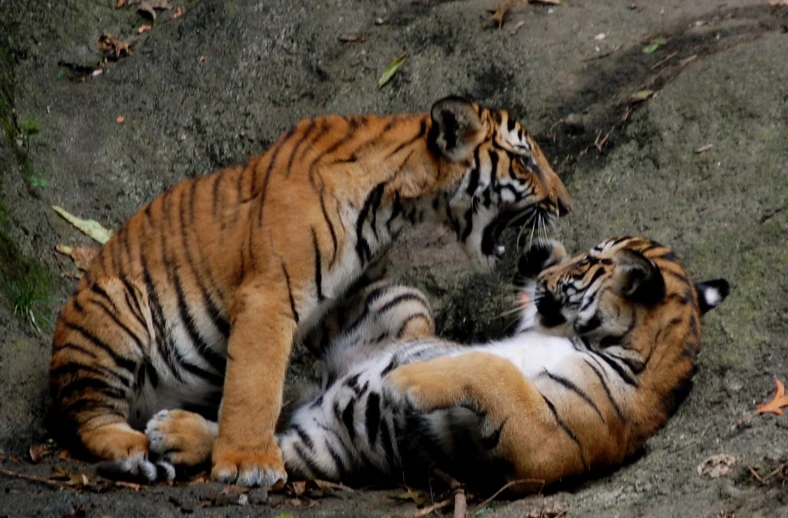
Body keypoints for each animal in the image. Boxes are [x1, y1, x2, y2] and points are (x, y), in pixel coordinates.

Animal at [52, 95, 576, 490]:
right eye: (525, 162)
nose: (566, 205)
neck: (394, 204)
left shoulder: (345, 296)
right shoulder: (268, 295)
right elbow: (255, 385)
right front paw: (249, 464)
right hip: (111, 317)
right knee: (90, 419)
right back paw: (136, 448)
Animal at [140, 238, 728, 494]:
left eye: (588, 262)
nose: (544, 271)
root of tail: (320, 394)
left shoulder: (542, 440)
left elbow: (494, 371)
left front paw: (406, 379)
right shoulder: (533, 328)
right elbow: (510, 342)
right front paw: (540, 251)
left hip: (318, 446)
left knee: (262, 442)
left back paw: (172, 431)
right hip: (403, 302)